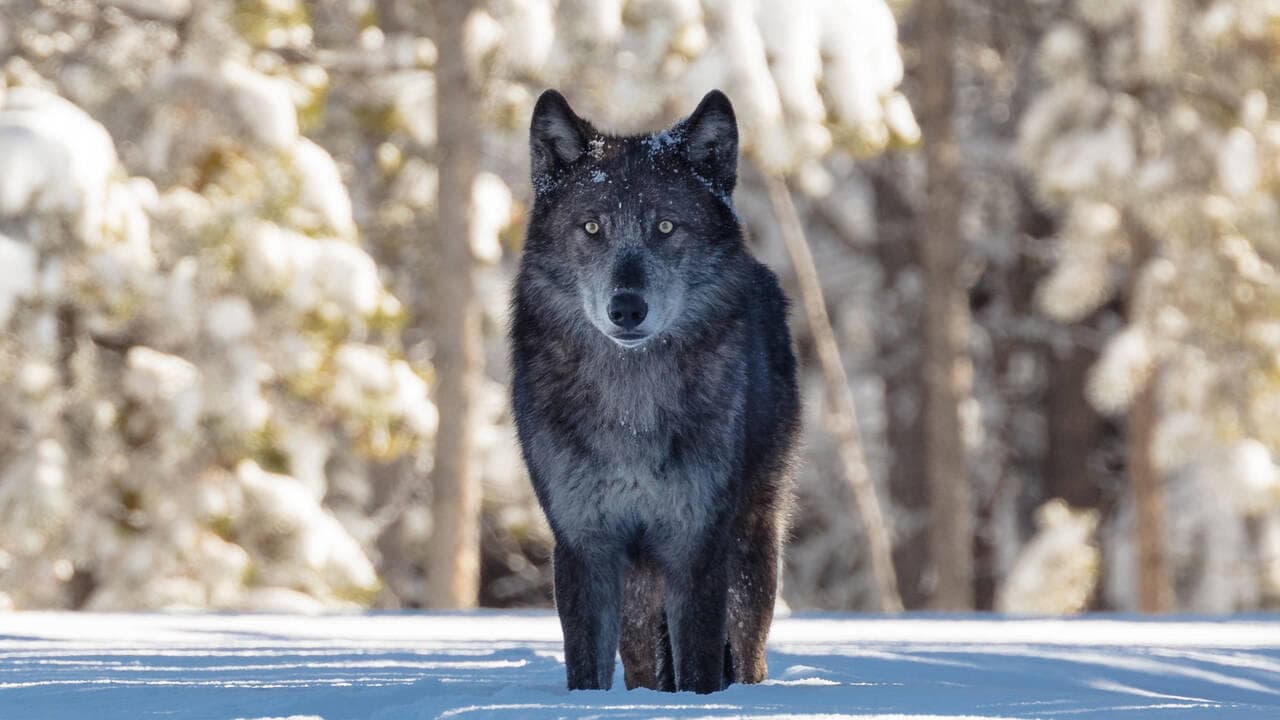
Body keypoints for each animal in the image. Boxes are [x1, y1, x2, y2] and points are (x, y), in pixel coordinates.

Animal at [509, 88, 798, 691]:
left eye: (665, 227)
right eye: (592, 228)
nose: (627, 308)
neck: (631, 409)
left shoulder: (697, 543)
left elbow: (699, 666)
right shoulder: (585, 544)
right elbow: (586, 669)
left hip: (751, 548)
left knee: (749, 653)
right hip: (641, 586)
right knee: (643, 662)